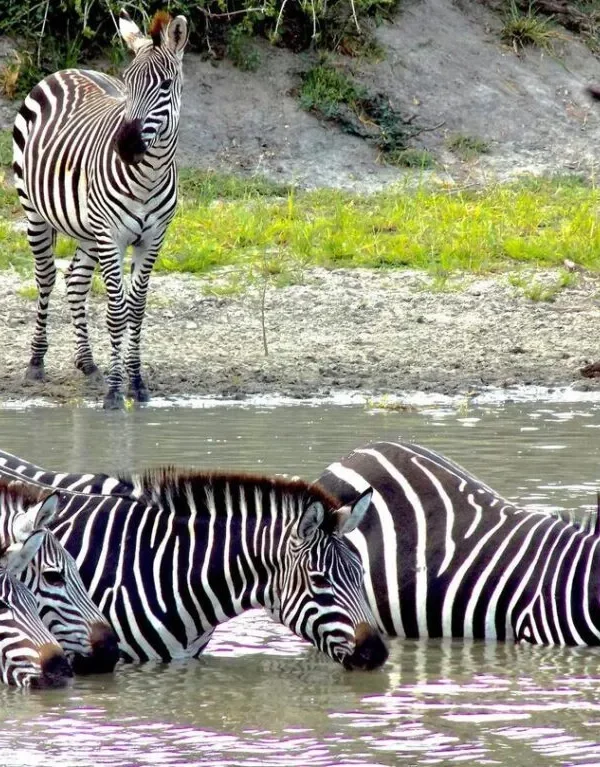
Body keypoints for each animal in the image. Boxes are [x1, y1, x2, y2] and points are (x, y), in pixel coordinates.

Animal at [13, 9, 188, 409]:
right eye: (128, 82)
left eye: (166, 85)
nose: (125, 146)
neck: (148, 176)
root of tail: (67, 70)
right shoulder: (113, 235)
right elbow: (117, 311)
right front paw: (114, 391)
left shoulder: (153, 238)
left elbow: (136, 308)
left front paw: (136, 384)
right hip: (35, 210)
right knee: (46, 276)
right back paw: (36, 361)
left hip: (87, 227)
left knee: (75, 280)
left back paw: (89, 363)